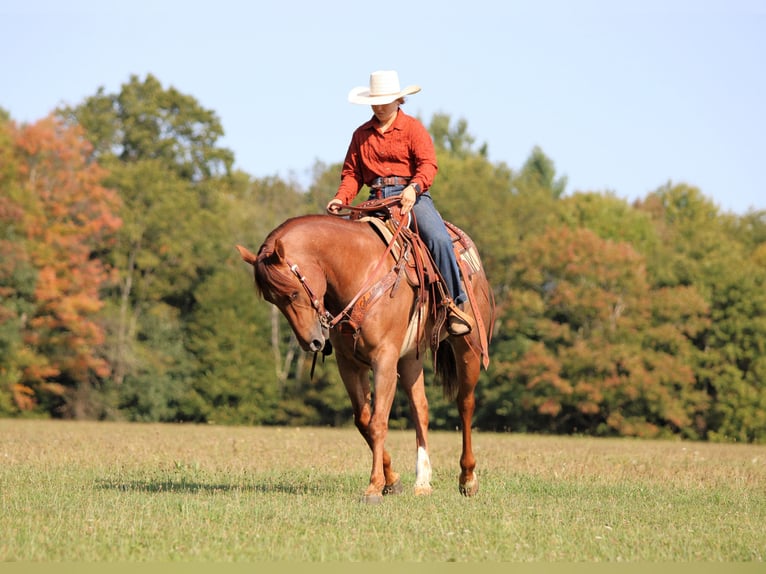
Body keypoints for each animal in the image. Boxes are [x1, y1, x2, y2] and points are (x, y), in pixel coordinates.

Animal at [236, 208, 494, 503]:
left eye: (292, 292)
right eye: (272, 299)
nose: (312, 342)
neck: (360, 272)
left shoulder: (384, 360)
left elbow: (379, 422)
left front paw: (374, 487)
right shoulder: (349, 365)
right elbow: (364, 421)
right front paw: (391, 481)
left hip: (468, 347)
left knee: (465, 404)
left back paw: (468, 478)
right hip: (411, 358)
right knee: (421, 409)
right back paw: (422, 481)